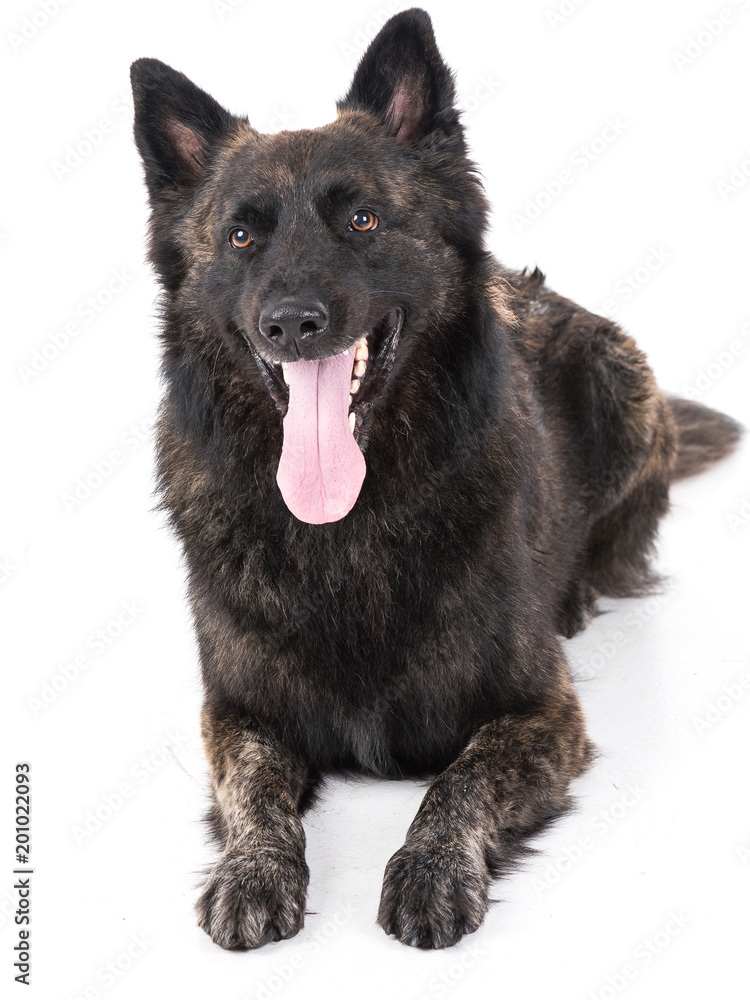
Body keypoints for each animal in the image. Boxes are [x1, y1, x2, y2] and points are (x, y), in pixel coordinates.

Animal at [130, 8, 740, 949]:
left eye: (364, 219)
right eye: (240, 236)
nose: (291, 323)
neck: (346, 529)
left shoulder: (540, 713)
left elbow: (462, 779)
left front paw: (430, 868)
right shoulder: (235, 714)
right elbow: (255, 790)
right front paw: (254, 870)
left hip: (622, 374)